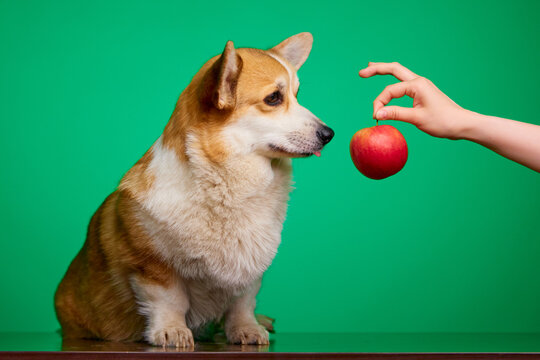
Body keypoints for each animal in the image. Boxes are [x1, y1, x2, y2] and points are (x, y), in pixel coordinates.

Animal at [53, 32, 334, 348]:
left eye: (297, 95)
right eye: (273, 98)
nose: (329, 134)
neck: (226, 183)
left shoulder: (250, 269)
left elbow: (242, 303)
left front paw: (247, 329)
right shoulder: (152, 266)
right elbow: (170, 300)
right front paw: (171, 331)